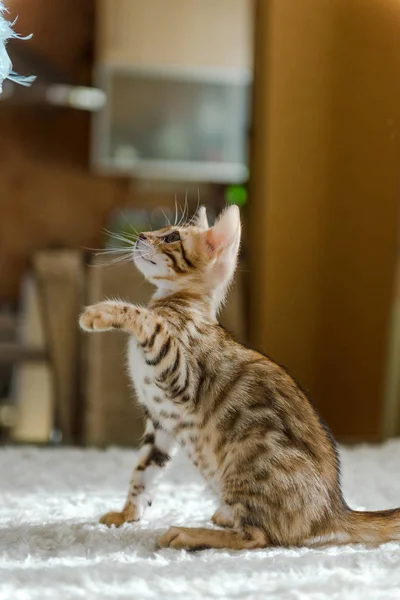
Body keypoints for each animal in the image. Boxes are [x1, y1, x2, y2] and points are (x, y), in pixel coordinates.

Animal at [79, 207, 400, 552]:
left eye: (172, 237)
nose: (141, 236)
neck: (178, 303)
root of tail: (332, 511)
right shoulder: (160, 425)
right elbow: (143, 473)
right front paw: (127, 514)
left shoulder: (181, 375)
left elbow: (148, 319)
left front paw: (101, 313)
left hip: (248, 460)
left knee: (259, 537)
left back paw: (188, 534)